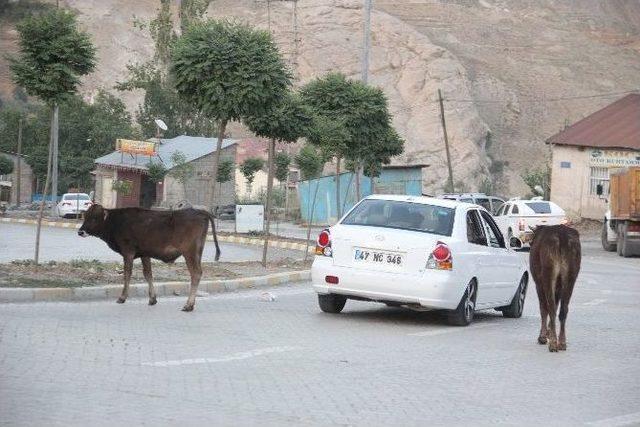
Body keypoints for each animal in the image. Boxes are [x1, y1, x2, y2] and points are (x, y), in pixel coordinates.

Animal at [78, 206, 220, 312]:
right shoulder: (144, 254)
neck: (115, 221)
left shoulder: (128, 252)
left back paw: (188, 305)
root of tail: (199, 211)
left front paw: (122, 297)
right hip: (197, 252)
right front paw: (152, 299)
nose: (80, 231)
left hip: (189, 252)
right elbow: (148, 274)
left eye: (94, 218)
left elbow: (127, 274)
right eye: (86, 216)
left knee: (195, 274)